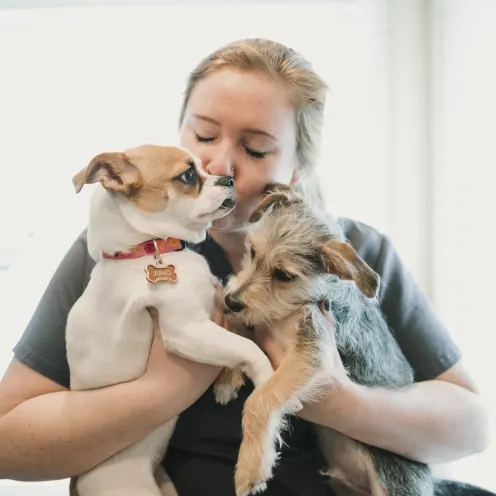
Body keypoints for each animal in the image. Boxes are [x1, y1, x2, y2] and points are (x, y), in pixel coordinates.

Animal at [217, 186, 434, 496]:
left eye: (284, 275)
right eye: (252, 251)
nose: (230, 301)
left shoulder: (312, 350)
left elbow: (260, 399)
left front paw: (251, 466)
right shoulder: (262, 318)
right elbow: (238, 329)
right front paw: (227, 377)